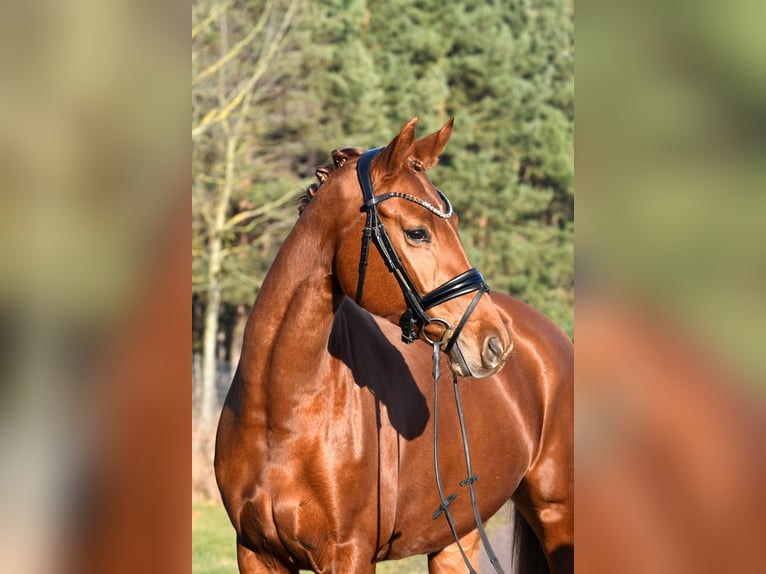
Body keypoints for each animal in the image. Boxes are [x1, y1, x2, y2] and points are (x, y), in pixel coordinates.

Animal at [214, 117, 573, 573]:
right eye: (417, 232)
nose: (494, 344)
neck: (278, 412)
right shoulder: (256, 553)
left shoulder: (349, 553)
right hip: (458, 535)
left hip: (557, 515)